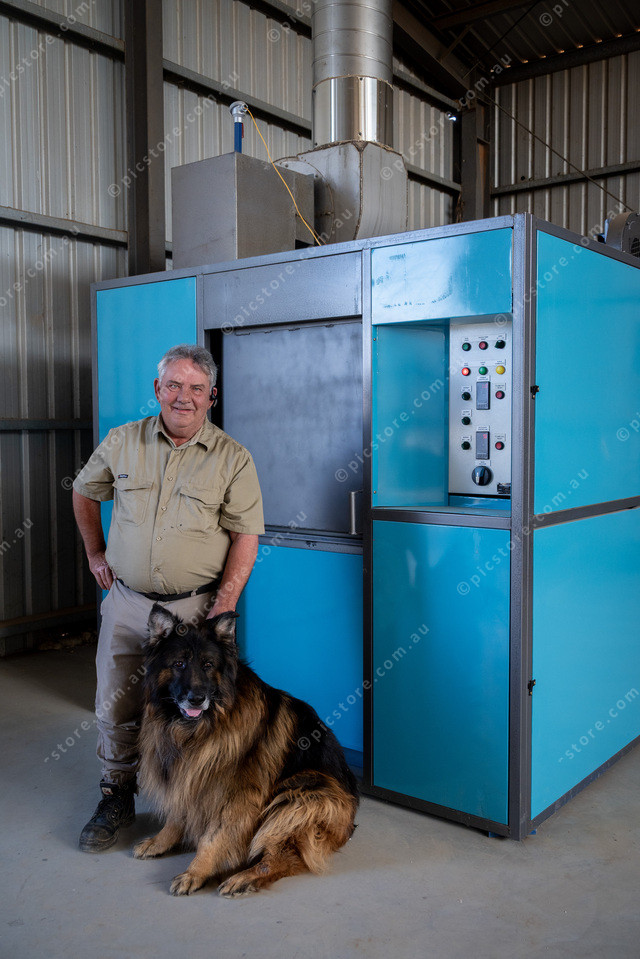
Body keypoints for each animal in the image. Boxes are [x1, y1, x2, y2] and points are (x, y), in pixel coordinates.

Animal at [133, 605, 359, 898]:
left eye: (208, 665)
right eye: (179, 664)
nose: (197, 699)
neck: (200, 727)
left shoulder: (236, 796)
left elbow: (213, 837)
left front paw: (196, 872)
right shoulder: (189, 777)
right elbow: (176, 816)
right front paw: (161, 842)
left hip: (304, 790)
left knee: (280, 857)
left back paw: (245, 877)